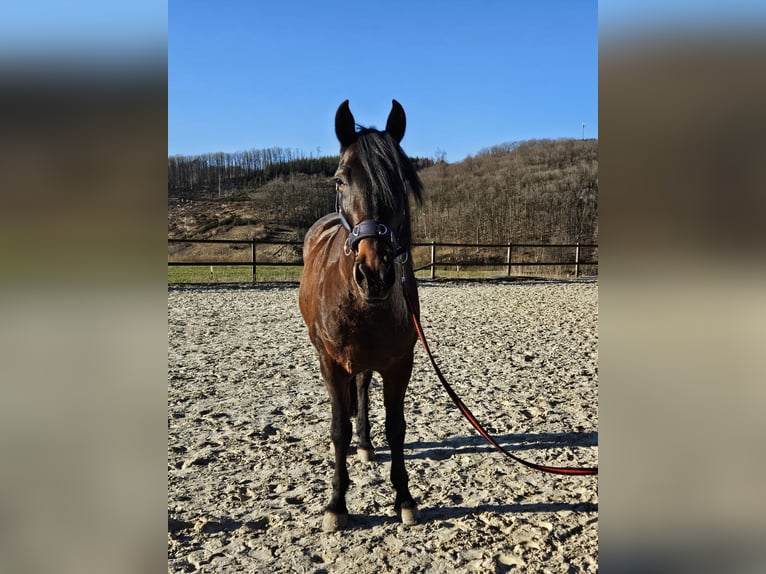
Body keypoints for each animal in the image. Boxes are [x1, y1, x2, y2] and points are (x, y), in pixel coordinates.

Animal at [300, 100, 426, 536]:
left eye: (399, 180)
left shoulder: (399, 363)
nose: (374, 274)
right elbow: (338, 429)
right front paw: (336, 505)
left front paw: (404, 498)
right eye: (341, 180)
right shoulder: (331, 362)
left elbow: (397, 427)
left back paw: (367, 444)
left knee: (364, 390)